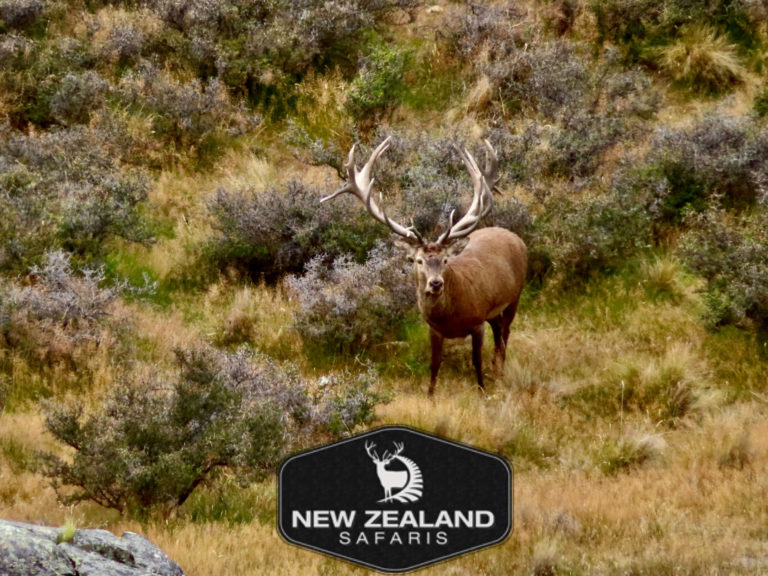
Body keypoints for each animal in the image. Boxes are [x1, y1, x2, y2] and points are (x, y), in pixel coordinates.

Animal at [321, 136, 527, 396]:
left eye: (445, 260)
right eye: (418, 260)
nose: (436, 283)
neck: (451, 316)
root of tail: (515, 237)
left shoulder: (477, 320)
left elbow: (476, 361)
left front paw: (482, 391)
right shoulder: (434, 329)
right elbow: (434, 364)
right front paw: (430, 396)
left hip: (515, 296)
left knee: (505, 332)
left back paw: (499, 370)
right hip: (494, 312)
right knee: (499, 330)